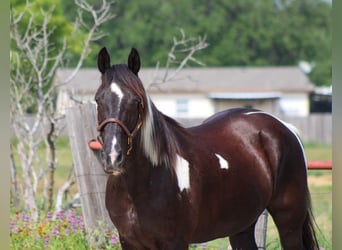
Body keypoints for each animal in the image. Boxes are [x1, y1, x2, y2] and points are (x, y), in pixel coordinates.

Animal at [91, 47, 318, 250]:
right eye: (98, 99)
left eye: (136, 100)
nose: (113, 156)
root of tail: (283, 127)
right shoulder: (128, 242)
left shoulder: (175, 242)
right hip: (241, 225)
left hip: (289, 221)